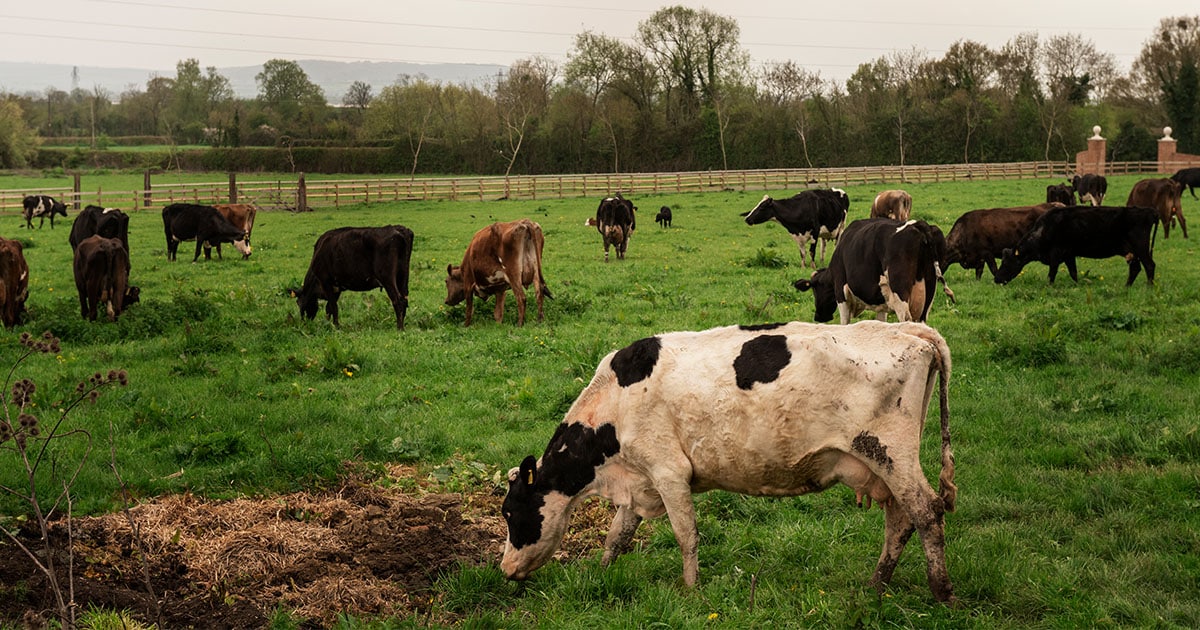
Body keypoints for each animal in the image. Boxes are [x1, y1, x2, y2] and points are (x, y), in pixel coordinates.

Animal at [501, 321, 960, 602]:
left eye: (510, 513)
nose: (504, 568)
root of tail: (907, 329)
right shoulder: (640, 480)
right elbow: (618, 536)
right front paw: (600, 572)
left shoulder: (668, 471)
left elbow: (686, 535)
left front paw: (691, 589)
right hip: (884, 466)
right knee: (900, 520)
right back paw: (877, 584)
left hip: (890, 454)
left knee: (926, 512)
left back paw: (941, 592)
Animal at [796, 217, 955, 324]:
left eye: (814, 289)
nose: (818, 317)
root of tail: (918, 224)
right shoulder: (881, 305)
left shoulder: (841, 294)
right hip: (928, 296)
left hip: (901, 295)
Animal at [988, 205, 1156, 285]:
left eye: (1007, 263)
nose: (996, 279)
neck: (1045, 229)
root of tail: (1148, 211)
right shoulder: (1069, 255)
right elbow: (1073, 273)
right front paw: (1077, 285)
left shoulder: (1056, 254)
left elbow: (1052, 273)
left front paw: (1049, 287)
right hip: (1131, 251)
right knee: (1135, 268)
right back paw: (1126, 287)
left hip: (1141, 247)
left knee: (1149, 265)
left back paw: (1149, 287)